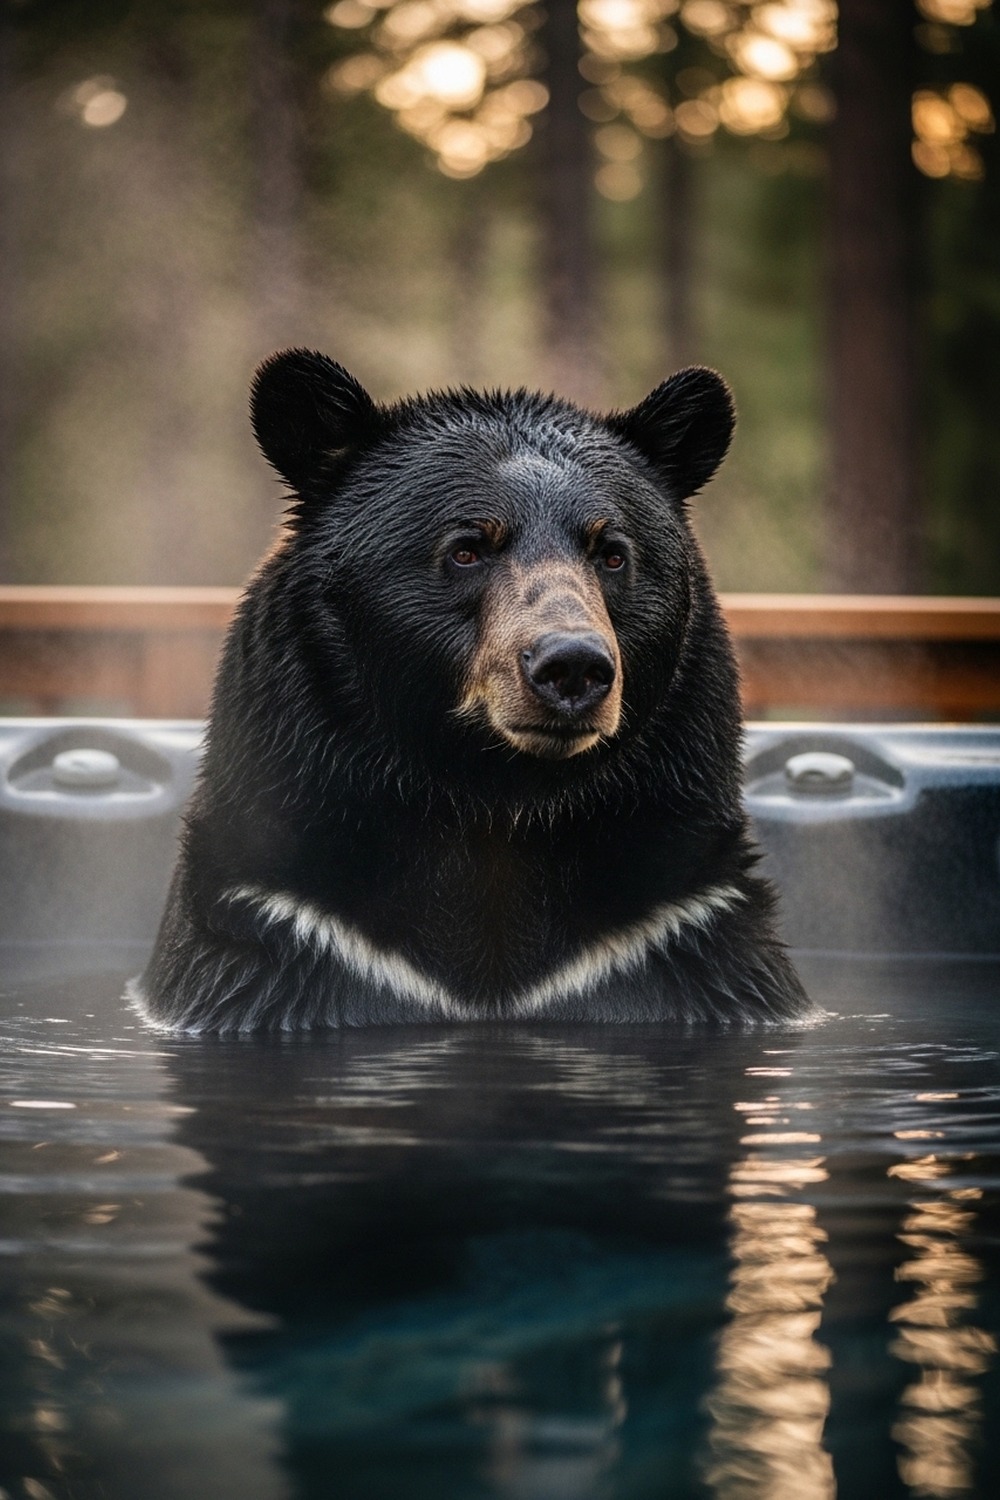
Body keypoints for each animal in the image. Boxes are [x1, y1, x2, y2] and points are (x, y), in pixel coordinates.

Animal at [131, 349, 811, 1033]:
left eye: (612, 553)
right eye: (467, 549)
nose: (572, 666)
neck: (496, 803)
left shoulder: (677, 925)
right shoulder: (285, 923)